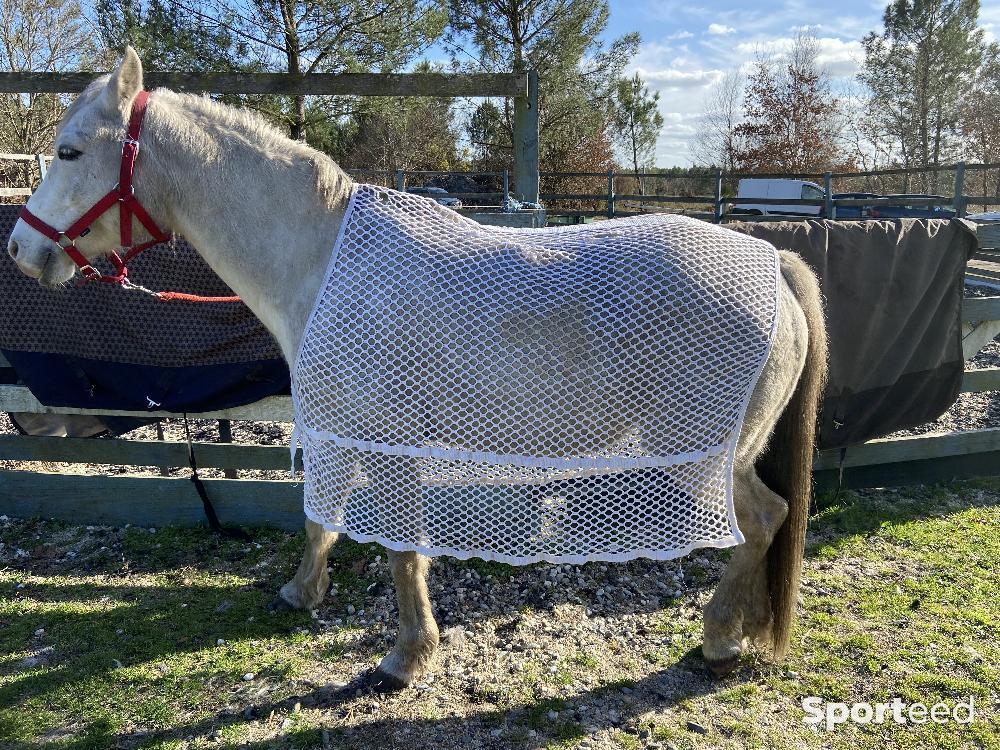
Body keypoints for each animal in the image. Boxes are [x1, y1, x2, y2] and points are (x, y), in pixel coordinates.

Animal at [9, 50, 828, 692]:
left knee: (762, 522)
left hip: (706, 458)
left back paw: (717, 639)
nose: (20, 249)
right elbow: (320, 521)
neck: (327, 261)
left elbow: (401, 552)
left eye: (71, 151)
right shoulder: (343, 432)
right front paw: (302, 593)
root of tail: (774, 263)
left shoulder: (385, 445)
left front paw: (406, 657)